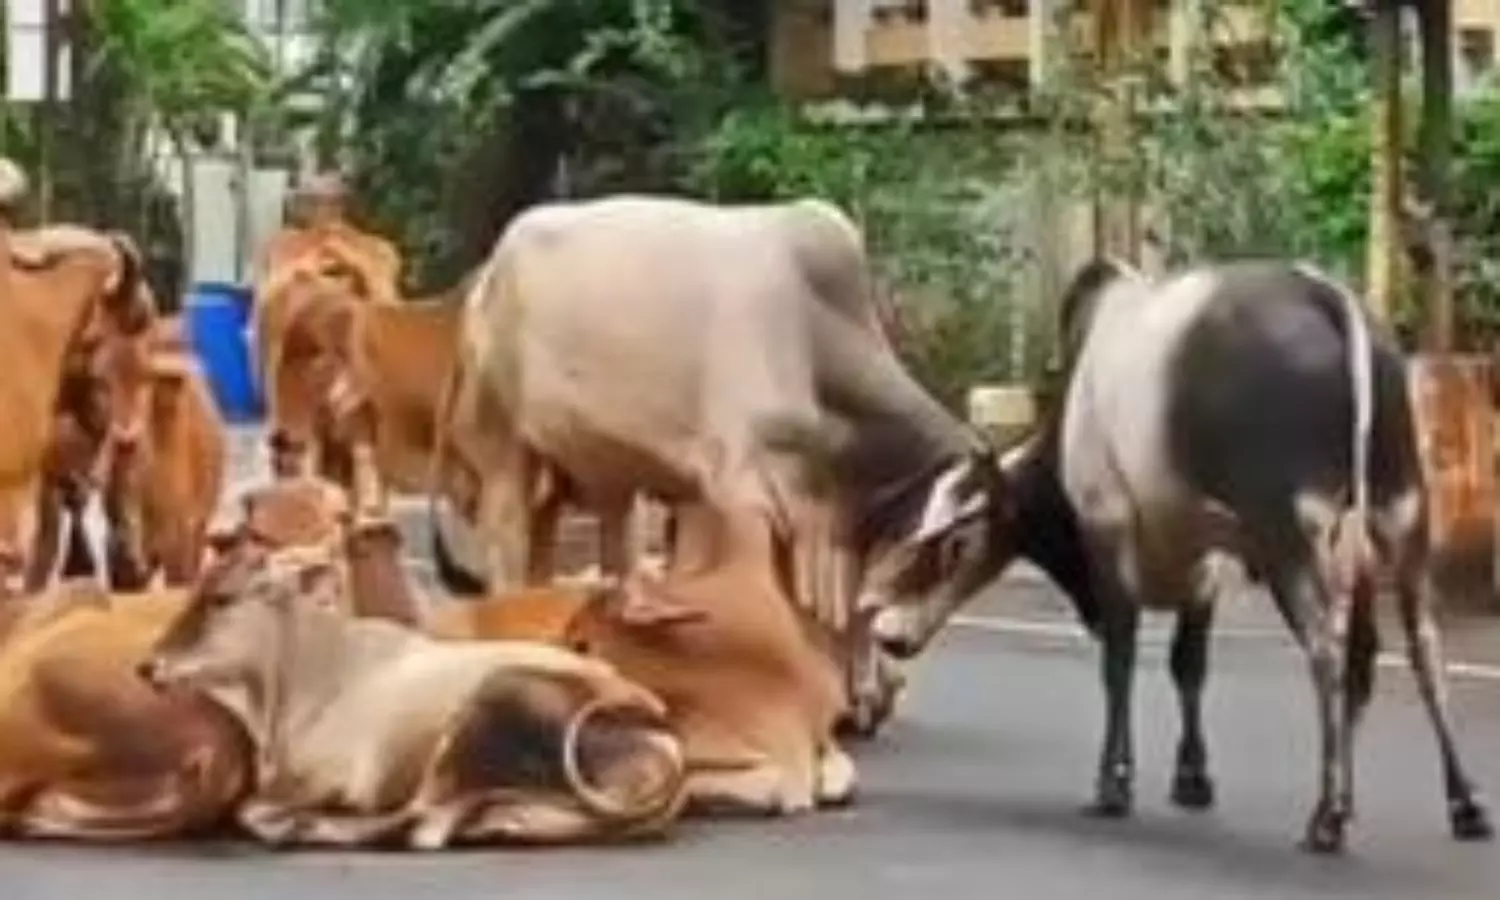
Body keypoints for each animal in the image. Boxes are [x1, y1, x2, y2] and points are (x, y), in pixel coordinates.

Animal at [139, 541, 690, 849]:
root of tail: (652, 721)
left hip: (479, 718)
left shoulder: (334, 779)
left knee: (423, 823)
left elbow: (250, 810)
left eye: (222, 598)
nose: (148, 666)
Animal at [432, 194, 1006, 738]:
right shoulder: (743, 489)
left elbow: (849, 611)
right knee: (507, 550)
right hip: (506, 452)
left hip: (579, 468)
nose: (906, 646)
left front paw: (860, 700)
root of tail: (487, 274)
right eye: (959, 544)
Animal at [871, 258, 1494, 854]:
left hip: (1291, 535)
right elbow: (1187, 667)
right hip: (1399, 516)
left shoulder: (1111, 531)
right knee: (1417, 649)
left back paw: (1327, 816)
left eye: (956, 543)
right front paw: (1192, 778)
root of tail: (1332, 298)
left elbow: (1120, 661)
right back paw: (1459, 804)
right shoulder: (1205, 568)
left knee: (1330, 651)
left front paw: (1114, 783)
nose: (888, 634)